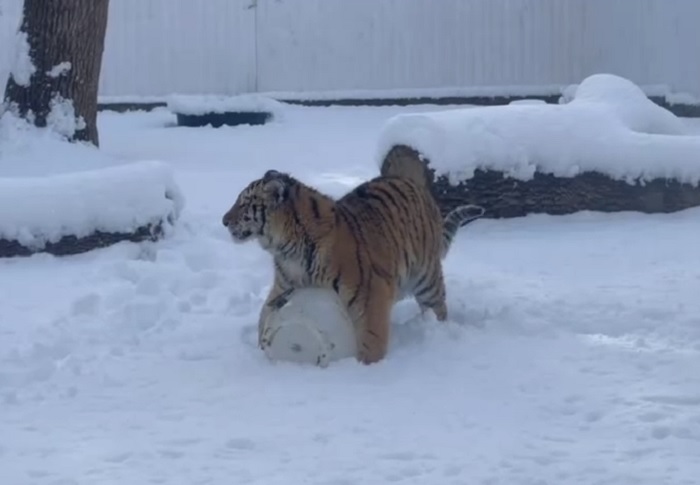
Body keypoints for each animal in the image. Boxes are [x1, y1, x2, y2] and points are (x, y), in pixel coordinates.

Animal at [221, 169, 484, 364]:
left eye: (244, 203)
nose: (224, 221)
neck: (286, 249)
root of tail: (416, 186)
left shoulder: (371, 292)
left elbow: (372, 337)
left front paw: (364, 369)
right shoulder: (284, 287)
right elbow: (264, 314)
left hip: (426, 280)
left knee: (438, 309)